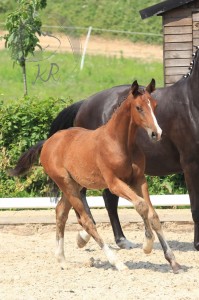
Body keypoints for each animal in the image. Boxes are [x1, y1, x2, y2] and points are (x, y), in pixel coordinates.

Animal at [9, 79, 180, 272]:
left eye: (155, 105)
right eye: (138, 107)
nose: (156, 133)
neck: (120, 143)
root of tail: (48, 142)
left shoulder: (139, 180)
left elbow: (153, 214)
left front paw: (172, 260)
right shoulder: (114, 183)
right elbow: (141, 206)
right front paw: (147, 245)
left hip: (73, 185)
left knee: (61, 212)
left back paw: (62, 259)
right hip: (66, 184)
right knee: (87, 221)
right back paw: (116, 262)